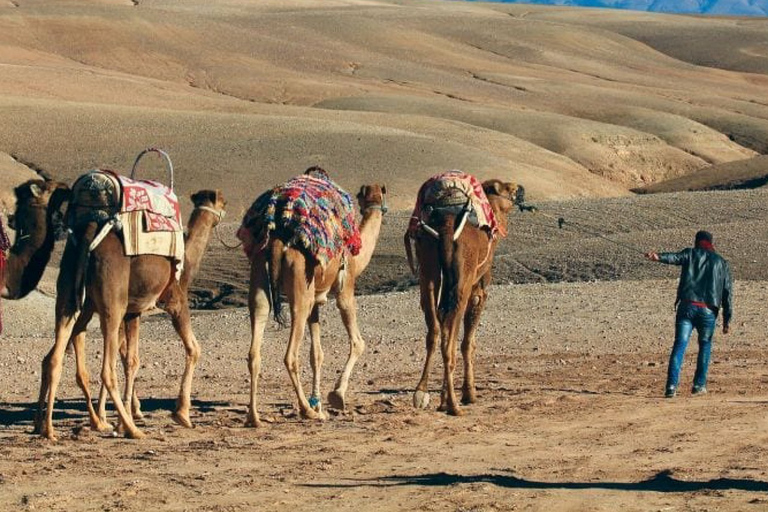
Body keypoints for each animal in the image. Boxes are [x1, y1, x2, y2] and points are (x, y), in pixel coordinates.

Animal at [3, 178, 225, 438]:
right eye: (222, 202)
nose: (226, 210)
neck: (187, 260)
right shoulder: (175, 300)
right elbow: (192, 349)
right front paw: (181, 414)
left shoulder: (133, 311)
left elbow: (131, 360)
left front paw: (123, 415)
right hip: (111, 305)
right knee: (105, 370)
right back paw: (130, 429)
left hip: (71, 300)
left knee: (53, 358)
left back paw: (46, 427)